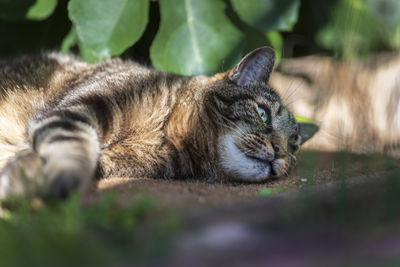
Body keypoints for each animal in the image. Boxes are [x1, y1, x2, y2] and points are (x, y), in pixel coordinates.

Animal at [0, 47, 314, 200]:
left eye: (294, 146)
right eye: (263, 113)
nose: (280, 151)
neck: (167, 135)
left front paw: (20, 176)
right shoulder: (79, 110)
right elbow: (73, 151)